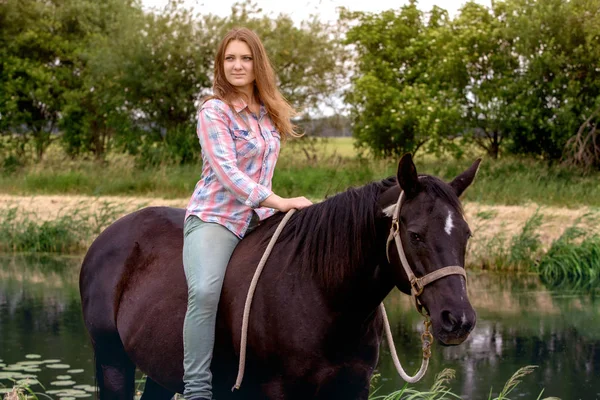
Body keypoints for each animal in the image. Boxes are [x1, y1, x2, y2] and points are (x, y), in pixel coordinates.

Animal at [79, 154, 480, 400]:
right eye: (415, 235)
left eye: (466, 234)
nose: (458, 319)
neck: (321, 295)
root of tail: (104, 238)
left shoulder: (352, 388)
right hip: (113, 363)